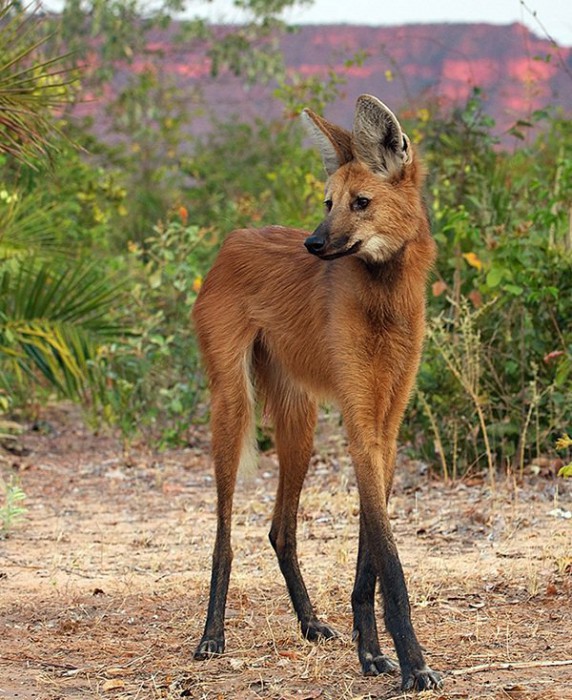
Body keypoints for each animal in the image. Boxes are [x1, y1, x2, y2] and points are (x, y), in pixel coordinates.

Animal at [192, 95, 442, 692]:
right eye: (327, 203)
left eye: (361, 202)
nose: (313, 243)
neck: (385, 297)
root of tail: (232, 239)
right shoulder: (360, 420)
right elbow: (389, 559)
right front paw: (413, 664)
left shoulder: (386, 426)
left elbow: (371, 552)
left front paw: (373, 655)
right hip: (233, 406)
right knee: (224, 533)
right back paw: (212, 636)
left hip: (299, 423)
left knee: (280, 530)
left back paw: (310, 623)